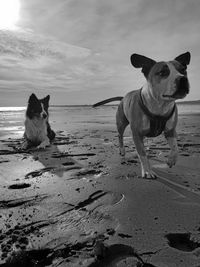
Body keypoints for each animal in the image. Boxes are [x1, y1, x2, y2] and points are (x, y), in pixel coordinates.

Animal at [93, 51, 191, 180]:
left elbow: (175, 147)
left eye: (183, 70)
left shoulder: (170, 130)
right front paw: (147, 171)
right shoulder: (136, 133)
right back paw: (122, 150)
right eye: (162, 72)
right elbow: (142, 154)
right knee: (120, 135)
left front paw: (171, 160)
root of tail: (123, 97)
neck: (160, 105)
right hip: (121, 122)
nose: (183, 78)